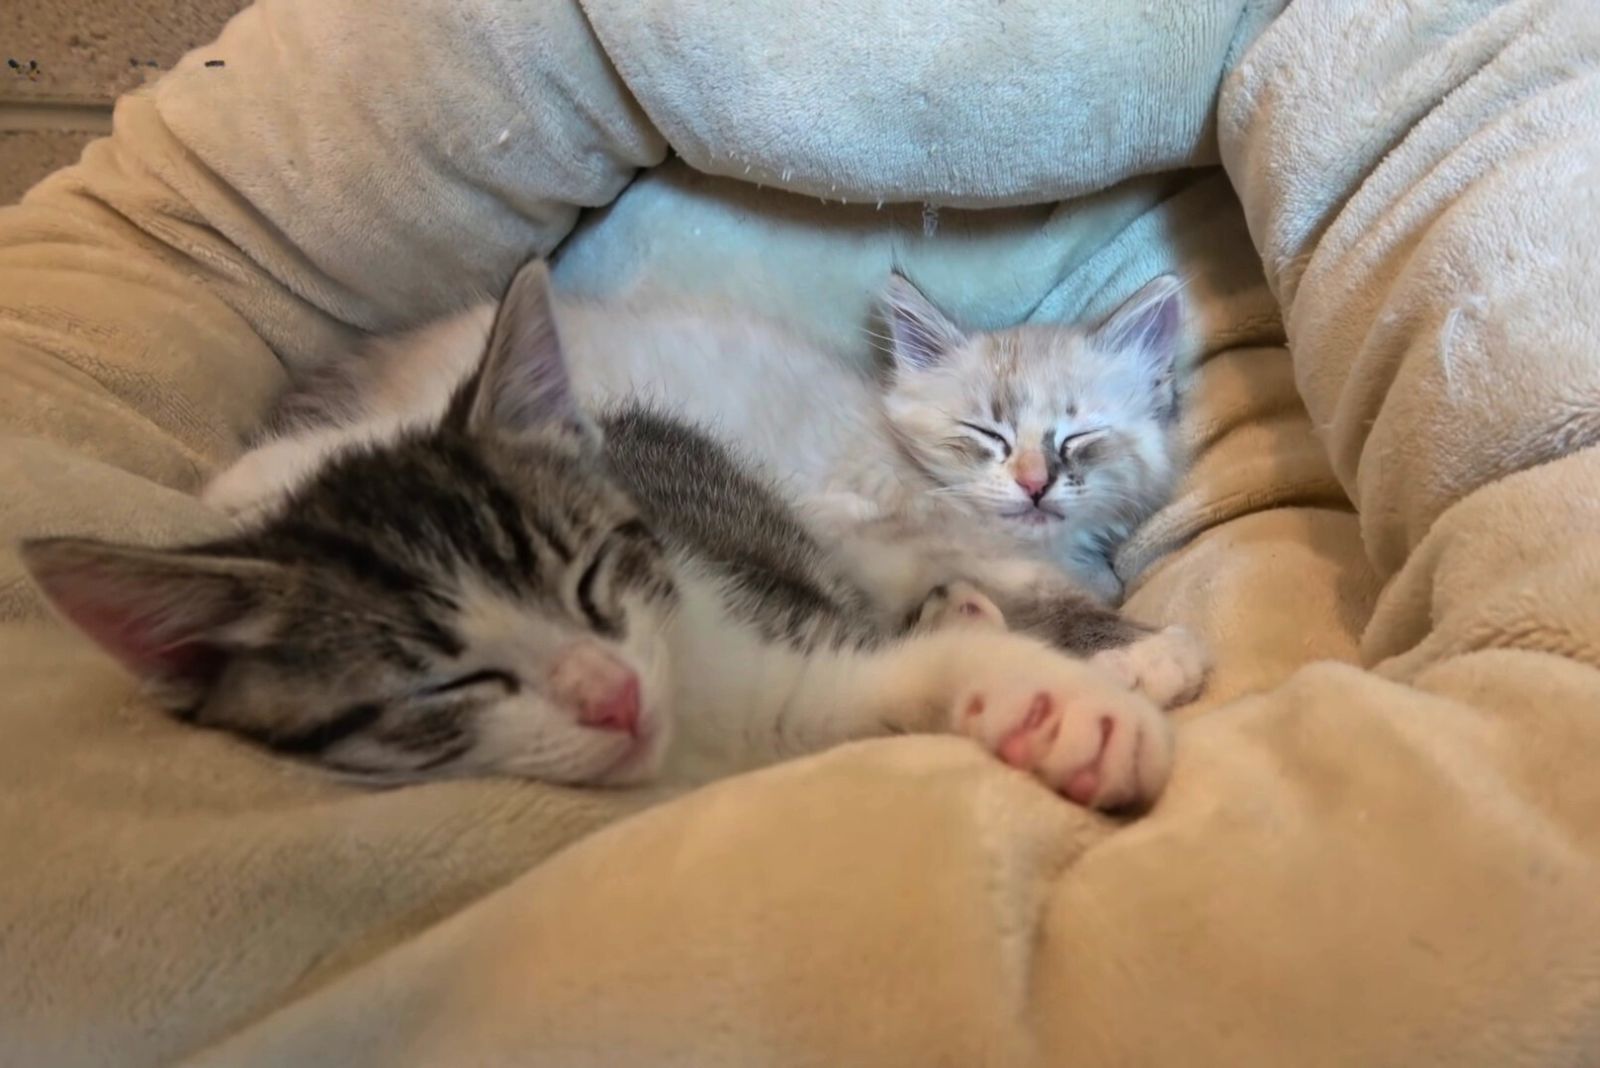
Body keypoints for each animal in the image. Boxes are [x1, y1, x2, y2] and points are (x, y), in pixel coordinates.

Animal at [18, 260, 1177, 808]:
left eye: (1076, 439)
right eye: (986, 436)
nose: (1034, 484)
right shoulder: (865, 530)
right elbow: (1027, 601)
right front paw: (1142, 653)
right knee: (265, 468)